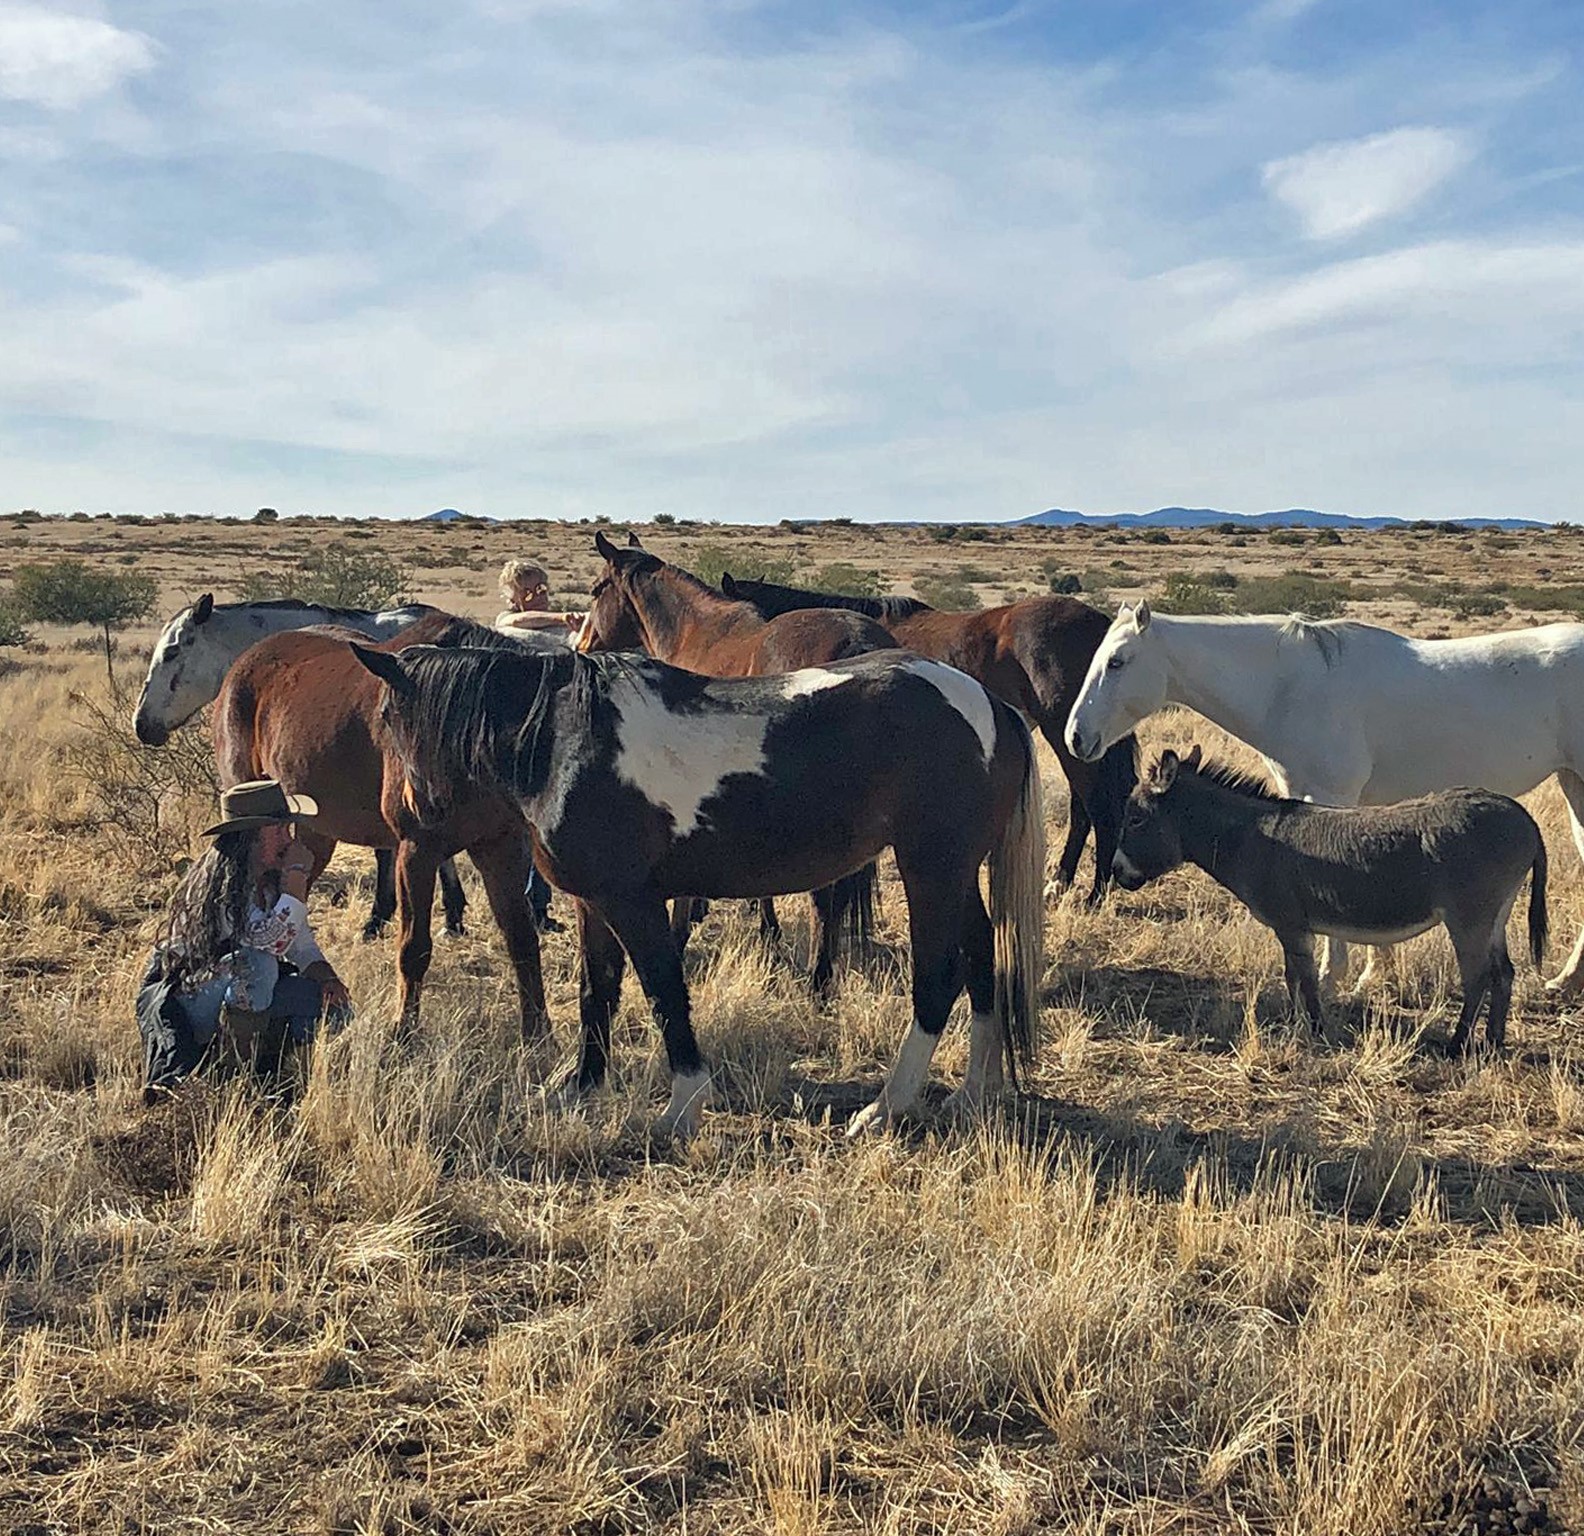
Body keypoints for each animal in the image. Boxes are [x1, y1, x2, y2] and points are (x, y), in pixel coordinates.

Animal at [212, 612, 550, 1038]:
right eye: (387, 716)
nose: (421, 800)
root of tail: (242, 664)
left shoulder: (500, 845)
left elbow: (522, 938)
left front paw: (539, 1034)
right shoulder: (417, 850)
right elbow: (414, 947)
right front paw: (404, 1030)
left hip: (312, 833)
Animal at [351, 640, 1047, 1138]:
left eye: (388, 716)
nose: (413, 814)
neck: (566, 741)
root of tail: (992, 708)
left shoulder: (632, 901)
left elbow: (663, 991)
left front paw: (683, 1105)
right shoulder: (592, 903)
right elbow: (596, 991)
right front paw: (579, 1086)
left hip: (931, 868)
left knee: (937, 978)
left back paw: (886, 1108)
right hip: (956, 874)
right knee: (982, 960)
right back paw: (973, 1093)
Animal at [579, 531, 895, 990]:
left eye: (596, 589)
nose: (582, 644)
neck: (694, 633)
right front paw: (765, 928)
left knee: (824, 896)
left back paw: (818, 982)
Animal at [1065, 602, 1584, 994]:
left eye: (1117, 661)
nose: (1075, 737)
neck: (1289, 685)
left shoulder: (1333, 795)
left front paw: (1335, 978)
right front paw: (1374, 973)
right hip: (1573, 784)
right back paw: (1567, 980)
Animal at [1115, 746, 1548, 1052]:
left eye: (1135, 819)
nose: (1117, 873)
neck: (1251, 837)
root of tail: (1522, 816)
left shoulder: (1291, 925)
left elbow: (1305, 979)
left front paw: (1315, 1029)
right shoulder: (1292, 927)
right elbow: (1293, 976)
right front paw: (1297, 1025)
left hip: (1468, 916)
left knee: (1477, 977)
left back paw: (1457, 1045)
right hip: (1495, 914)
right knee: (1504, 972)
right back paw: (1493, 1042)